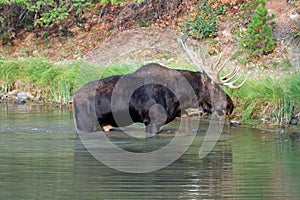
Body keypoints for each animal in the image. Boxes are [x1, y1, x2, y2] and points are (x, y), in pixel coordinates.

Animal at [73, 41, 246, 137]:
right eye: (215, 88)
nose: (230, 105)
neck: (180, 96)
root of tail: (73, 97)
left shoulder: (178, 112)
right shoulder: (153, 122)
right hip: (85, 124)